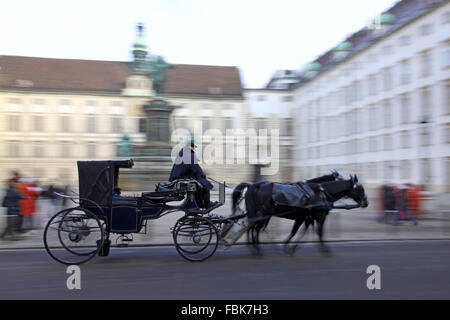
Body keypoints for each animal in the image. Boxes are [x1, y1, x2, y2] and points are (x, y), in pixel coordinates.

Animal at [232, 172, 370, 255]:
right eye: (360, 188)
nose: (366, 202)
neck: (320, 193)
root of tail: (253, 186)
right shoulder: (318, 217)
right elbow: (318, 232)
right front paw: (324, 249)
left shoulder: (306, 218)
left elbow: (300, 232)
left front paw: (290, 247)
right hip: (264, 215)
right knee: (256, 229)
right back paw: (257, 249)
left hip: (259, 215)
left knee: (253, 228)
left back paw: (254, 247)